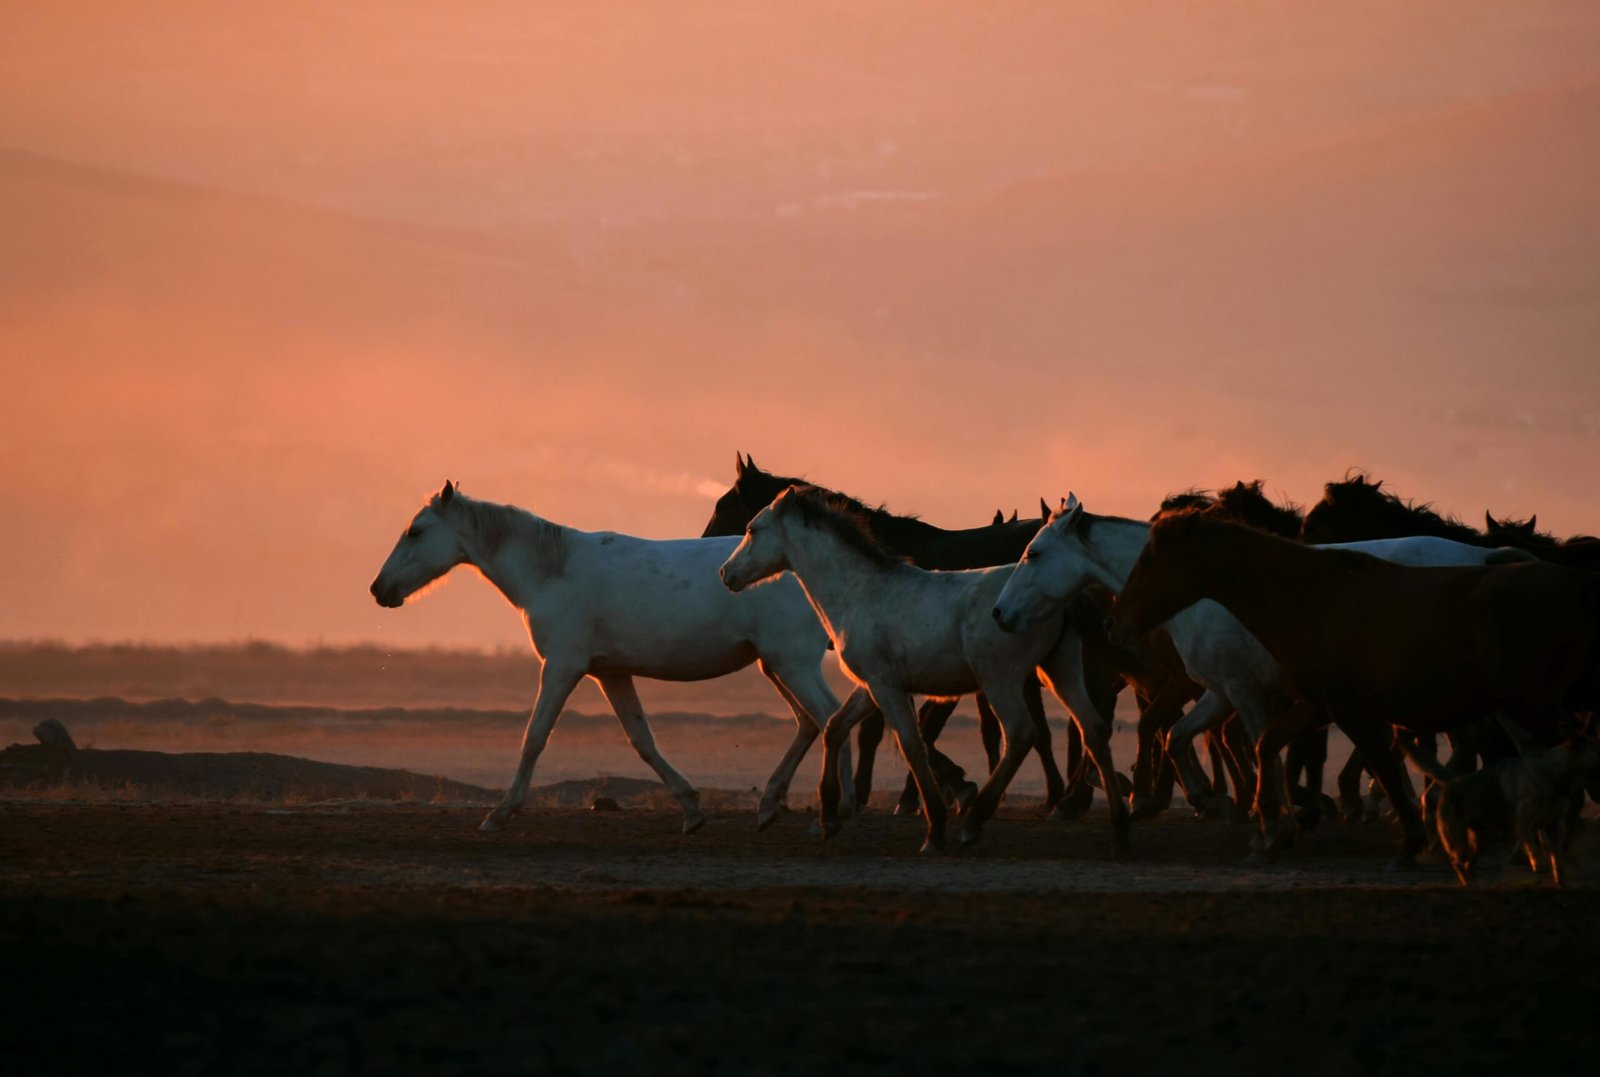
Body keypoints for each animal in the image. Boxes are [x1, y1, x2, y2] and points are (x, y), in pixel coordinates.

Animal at [369, 481, 852, 834]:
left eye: (415, 531)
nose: (379, 588)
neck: (552, 571)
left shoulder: (562, 668)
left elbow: (534, 737)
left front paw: (500, 813)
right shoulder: (612, 675)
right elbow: (642, 741)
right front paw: (691, 810)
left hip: (793, 665)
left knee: (831, 717)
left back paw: (840, 809)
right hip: (774, 666)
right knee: (810, 722)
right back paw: (771, 805)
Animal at [721, 484, 1131, 857]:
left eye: (753, 528)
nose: (726, 573)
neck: (861, 591)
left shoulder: (887, 688)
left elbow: (911, 743)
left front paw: (934, 829)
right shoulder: (871, 686)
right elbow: (836, 728)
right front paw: (828, 819)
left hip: (1000, 681)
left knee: (1021, 733)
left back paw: (975, 821)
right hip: (1061, 671)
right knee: (1094, 730)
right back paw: (1116, 829)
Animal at [994, 495, 1536, 862]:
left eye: (1034, 553)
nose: (1000, 613)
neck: (1202, 592)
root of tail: (1484, 559)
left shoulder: (1246, 693)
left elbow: (1258, 748)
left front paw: (1272, 823)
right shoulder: (1219, 691)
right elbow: (1180, 736)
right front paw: (1216, 803)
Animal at [1104, 511, 1600, 865]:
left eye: (1149, 561)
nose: (1116, 622)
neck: (1310, 597)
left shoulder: (1333, 706)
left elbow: (1377, 765)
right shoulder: (1312, 704)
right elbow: (1266, 745)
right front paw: (1271, 828)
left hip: (1527, 705)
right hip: (1517, 706)